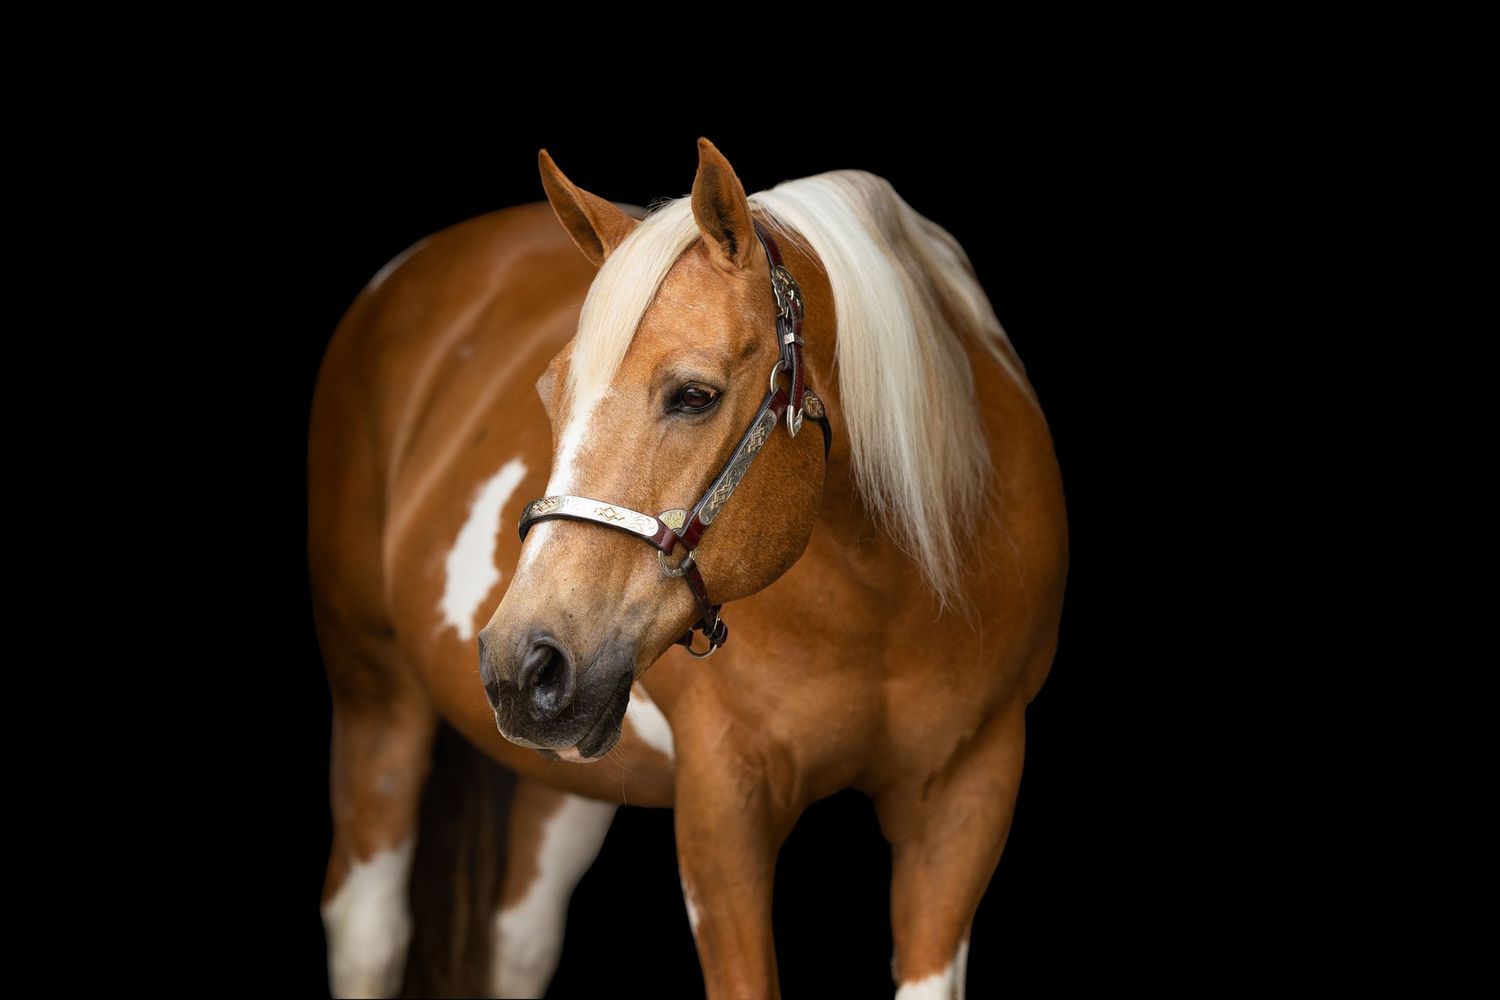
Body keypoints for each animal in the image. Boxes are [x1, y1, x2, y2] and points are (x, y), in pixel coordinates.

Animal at [309, 137, 1068, 999]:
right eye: (549, 392)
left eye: (696, 395)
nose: (519, 662)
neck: (893, 598)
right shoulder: (722, 807)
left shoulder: (969, 798)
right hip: (376, 693)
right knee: (368, 930)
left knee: (519, 939)